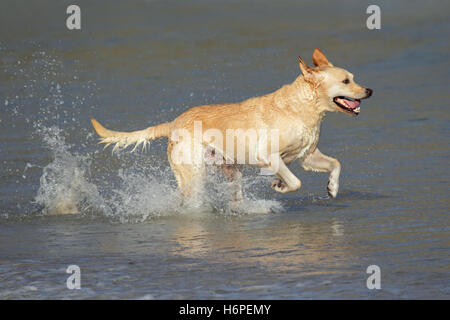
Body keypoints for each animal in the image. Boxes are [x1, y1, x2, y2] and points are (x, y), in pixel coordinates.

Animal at [89, 47, 370, 202]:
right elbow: (296, 181)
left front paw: (332, 188)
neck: (302, 109)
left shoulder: (306, 156)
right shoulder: (267, 156)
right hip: (194, 174)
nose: (369, 90)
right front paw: (281, 186)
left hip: (231, 173)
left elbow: (335, 163)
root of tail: (173, 123)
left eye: (353, 78)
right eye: (346, 81)